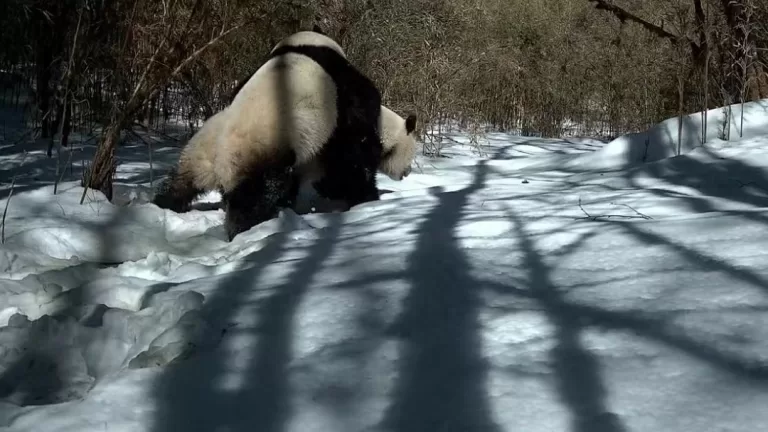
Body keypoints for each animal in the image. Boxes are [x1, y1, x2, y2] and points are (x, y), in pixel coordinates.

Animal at [152, 31, 416, 241]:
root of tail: (217, 166)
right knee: (252, 199)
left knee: (181, 182)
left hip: (199, 154)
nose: (407, 173)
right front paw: (366, 198)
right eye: (411, 154)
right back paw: (248, 231)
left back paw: (163, 206)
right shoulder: (343, 107)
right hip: (258, 150)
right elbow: (351, 161)